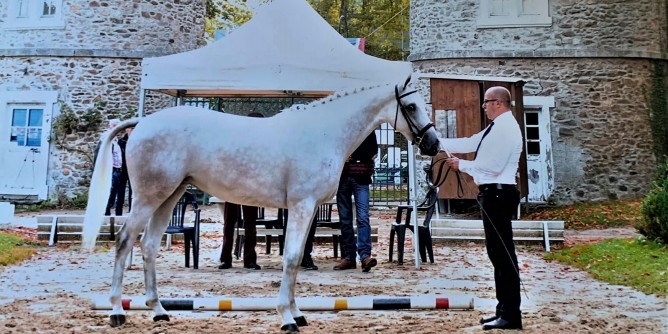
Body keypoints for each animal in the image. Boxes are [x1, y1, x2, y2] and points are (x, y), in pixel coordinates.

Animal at [82, 75, 438, 332]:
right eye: (412, 106)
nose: (433, 144)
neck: (323, 133)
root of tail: (142, 123)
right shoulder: (301, 206)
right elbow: (291, 258)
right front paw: (287, 318)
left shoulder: (307, 210)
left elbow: (297, 259)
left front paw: (298, 314)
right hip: (148, 198)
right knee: (124, 241)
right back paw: (116, 311)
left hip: (168, 198)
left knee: (149, 246)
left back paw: (158, 311)